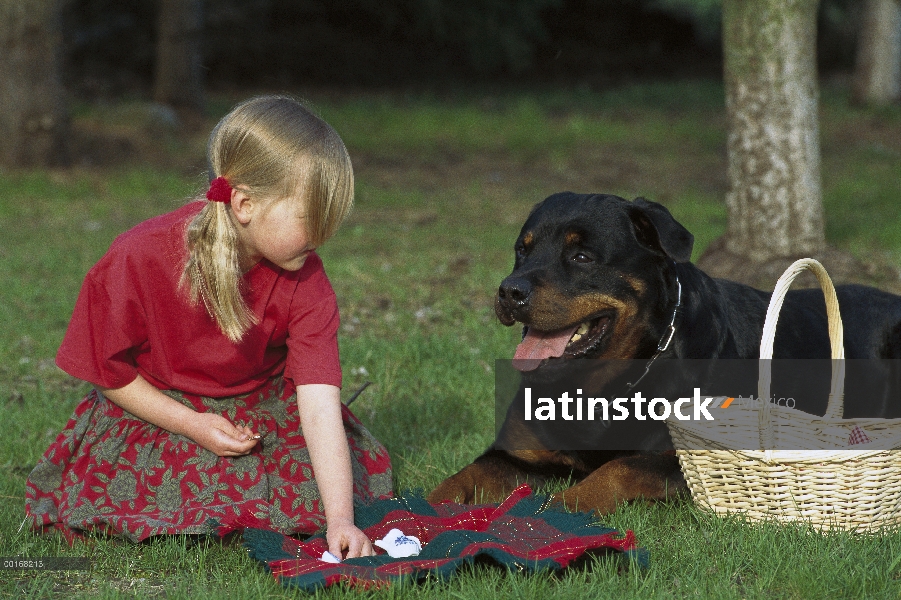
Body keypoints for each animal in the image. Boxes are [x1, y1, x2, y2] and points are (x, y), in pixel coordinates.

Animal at [428, 195, 900, 512]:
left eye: (581, 256)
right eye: (521, 250)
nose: (510, 290)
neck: (598, 386)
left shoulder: (682, 458)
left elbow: (617, 469)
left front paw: (557, 508)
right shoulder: (515, 453)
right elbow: (463, 475)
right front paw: (424, 512)